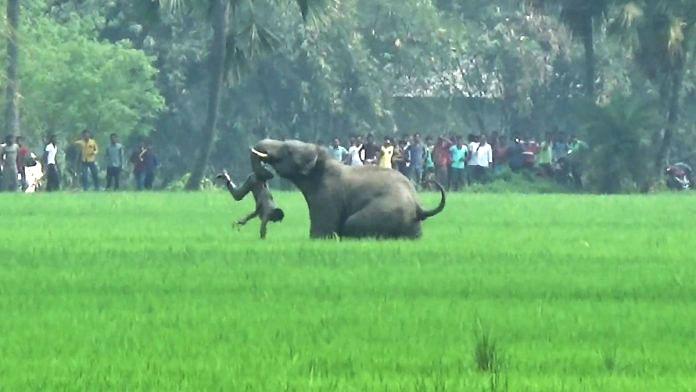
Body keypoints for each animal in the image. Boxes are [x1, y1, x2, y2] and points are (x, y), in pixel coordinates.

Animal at [250, 140, 446, 239]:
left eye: (288, 150)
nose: (266, 174)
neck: (323, 161)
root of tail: (419, 207)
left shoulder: (327, 196)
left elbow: (322, 231)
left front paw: (318, 238)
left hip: (386, 211)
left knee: (351, 223)